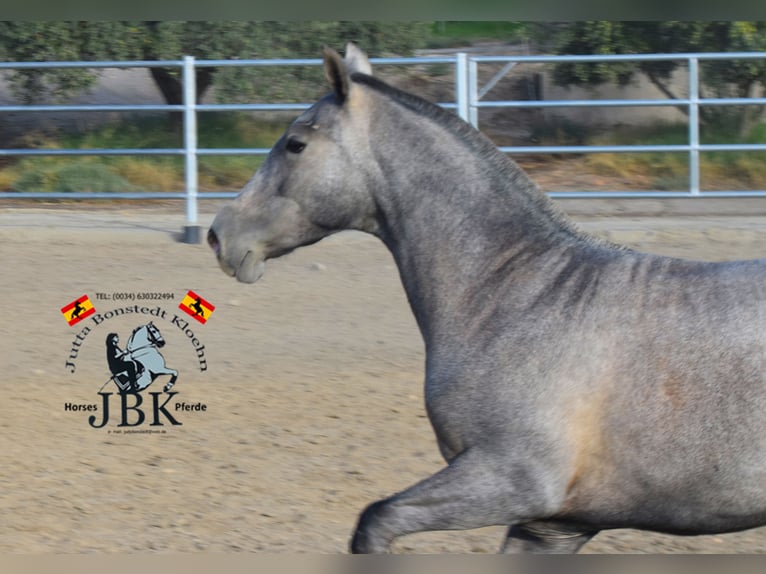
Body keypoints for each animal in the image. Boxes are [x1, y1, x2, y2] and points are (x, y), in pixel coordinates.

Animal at [207, 42, 766, 556]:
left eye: (295, 144)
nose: (219, 235)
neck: (516, 294)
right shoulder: (552, 526)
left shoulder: (513, 479)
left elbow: (375, 520)